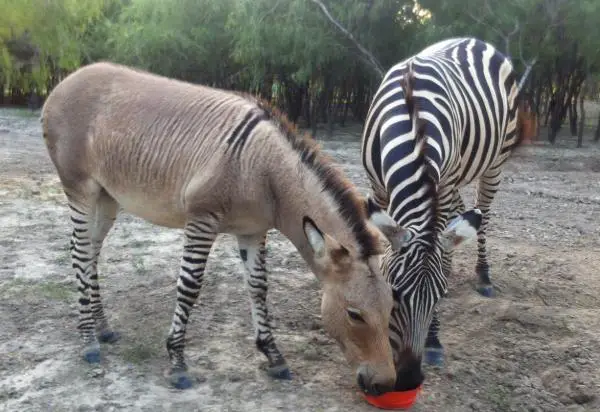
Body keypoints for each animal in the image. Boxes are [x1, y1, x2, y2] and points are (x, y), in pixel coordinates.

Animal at [41, 60, 398, 392]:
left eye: (391, 308)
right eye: (355, 314)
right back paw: (89, 340)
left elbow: (258, 287)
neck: (264, 171)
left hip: (107, 196)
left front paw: (273, 356)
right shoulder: (202, 219)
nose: (385, 384)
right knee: (79, 252)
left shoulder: (252, 230)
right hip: (80, 189)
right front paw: (177, 361)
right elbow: (189, 286)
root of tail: (68, 80)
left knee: (89, 253)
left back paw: (102, 328)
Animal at [358, 37, 536, 390]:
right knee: (456, 220)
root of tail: (475, 41)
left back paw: (483, 275)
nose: (410, 379)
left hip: (493, 163)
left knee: (482, 216)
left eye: (437, 297)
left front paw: (434, 341)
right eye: (394, 292)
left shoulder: (440, 183)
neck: (410, 118)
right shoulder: (378, 188)